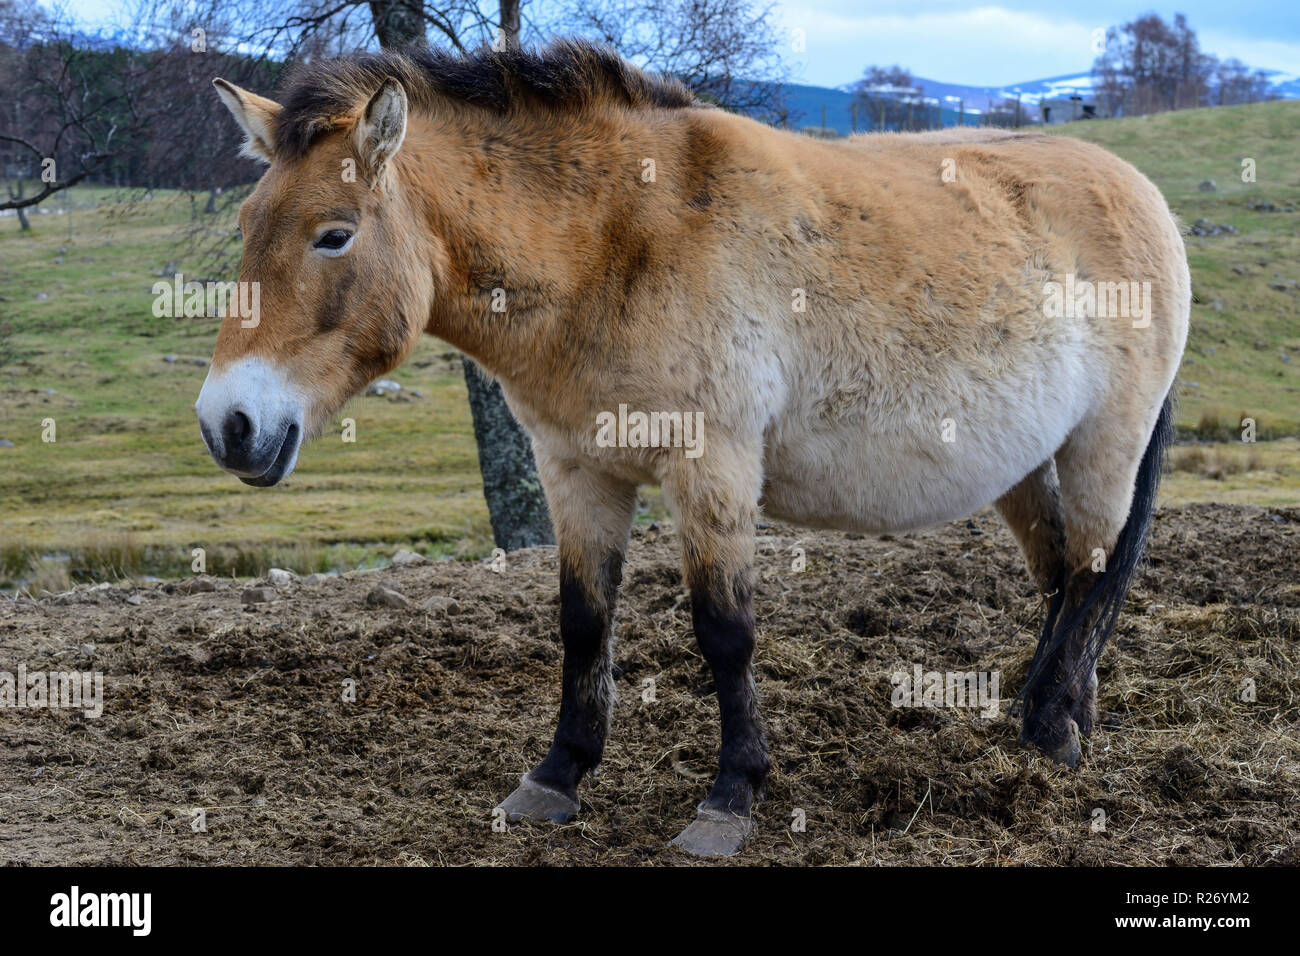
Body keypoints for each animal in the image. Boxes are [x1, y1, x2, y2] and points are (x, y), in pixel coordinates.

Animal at [195, 39, 1190, 858]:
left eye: (334, 235)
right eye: (244, 228)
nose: (227, 424)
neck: (616, 239)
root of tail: (1140, 190)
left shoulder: (711, 467)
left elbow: (724, 631)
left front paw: (730, 798)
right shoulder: (576, 469)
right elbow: (583, 621)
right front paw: (556, 778)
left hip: (1104, 444)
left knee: (1095, 571)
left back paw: (1051, 733)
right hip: (1024, 465)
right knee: (1064, 576)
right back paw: (1058, 718)